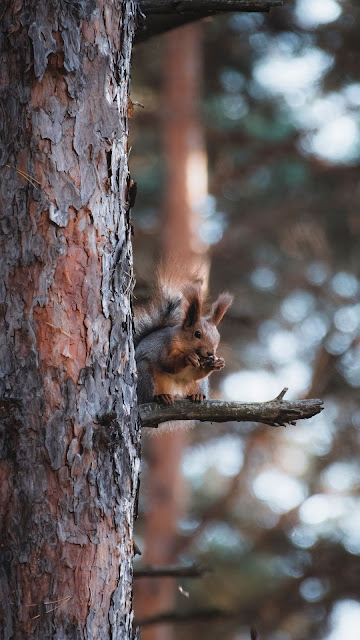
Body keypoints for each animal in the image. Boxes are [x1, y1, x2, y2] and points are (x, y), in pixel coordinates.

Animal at [134, 268, 232, 408]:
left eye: (218, 336)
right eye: (197, 334)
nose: (211, 353)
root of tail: (176, 394)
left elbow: (195, 375)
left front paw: (218, 363)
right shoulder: (165, 346)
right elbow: (167, 363)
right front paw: (188, 358)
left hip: (200, 385)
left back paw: (196, 395)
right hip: (144, 374)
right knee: (148, 396)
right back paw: (161, 397)